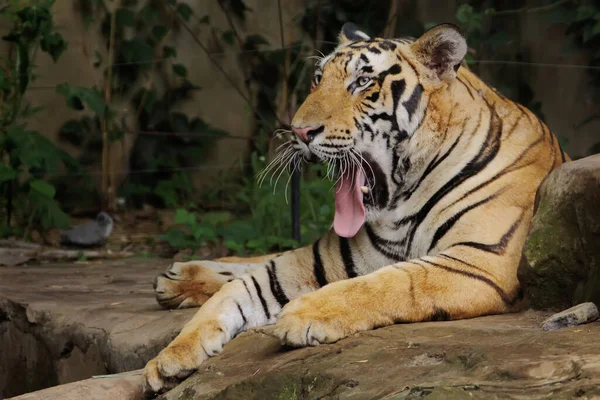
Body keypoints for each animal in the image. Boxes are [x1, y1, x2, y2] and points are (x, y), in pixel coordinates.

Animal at [144, 21, 568, 390]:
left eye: (362, 82)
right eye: (318, 79)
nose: (299, 131)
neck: (401, 198)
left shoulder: (480, 260)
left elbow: (390, 282)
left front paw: (302, 315)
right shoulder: (327, 258)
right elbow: (244, 287)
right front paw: (167, 359)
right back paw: (177, 278)